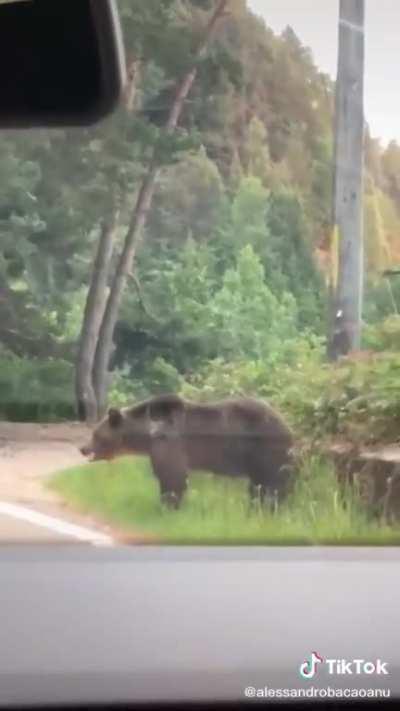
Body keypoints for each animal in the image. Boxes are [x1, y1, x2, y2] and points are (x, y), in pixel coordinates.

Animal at [80, 393, 295, 509]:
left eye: (95, 433)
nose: (82, 448)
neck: (146, 433)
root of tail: (287, 425)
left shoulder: (168, 442)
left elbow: (172, 476)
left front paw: (169, 505)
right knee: (260, 486)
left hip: (265, 449)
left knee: (271, 484)